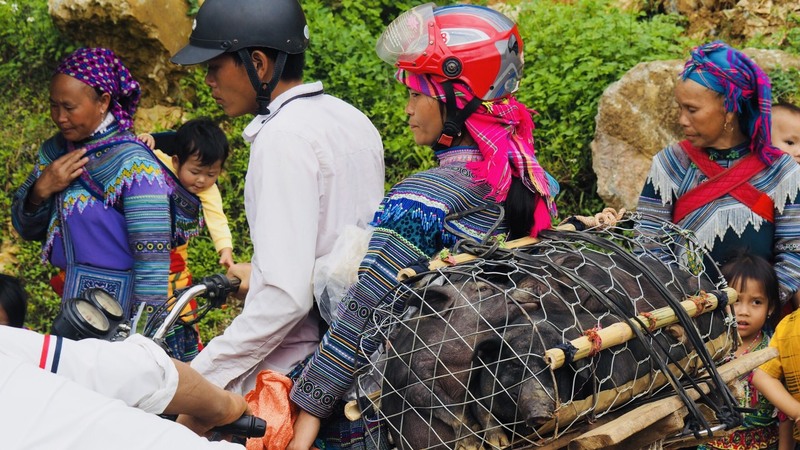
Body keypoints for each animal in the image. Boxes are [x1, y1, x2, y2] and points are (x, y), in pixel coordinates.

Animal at [348, 212, 736, 450]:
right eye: (482, 289)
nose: (523, 294)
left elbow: (474, 412)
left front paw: (493, 442)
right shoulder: (413, 375)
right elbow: (445, 407)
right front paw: (476, 444)